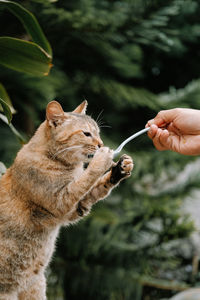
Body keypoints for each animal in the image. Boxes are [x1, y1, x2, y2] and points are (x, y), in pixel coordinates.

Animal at [0, 101, 134, 300]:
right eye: (87, 134)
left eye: (98, 132)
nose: (101, 144)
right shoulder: (60, 201)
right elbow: (86, 179)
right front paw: (103, 159)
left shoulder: (76, 208)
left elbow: (96, 187)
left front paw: (120, 169)